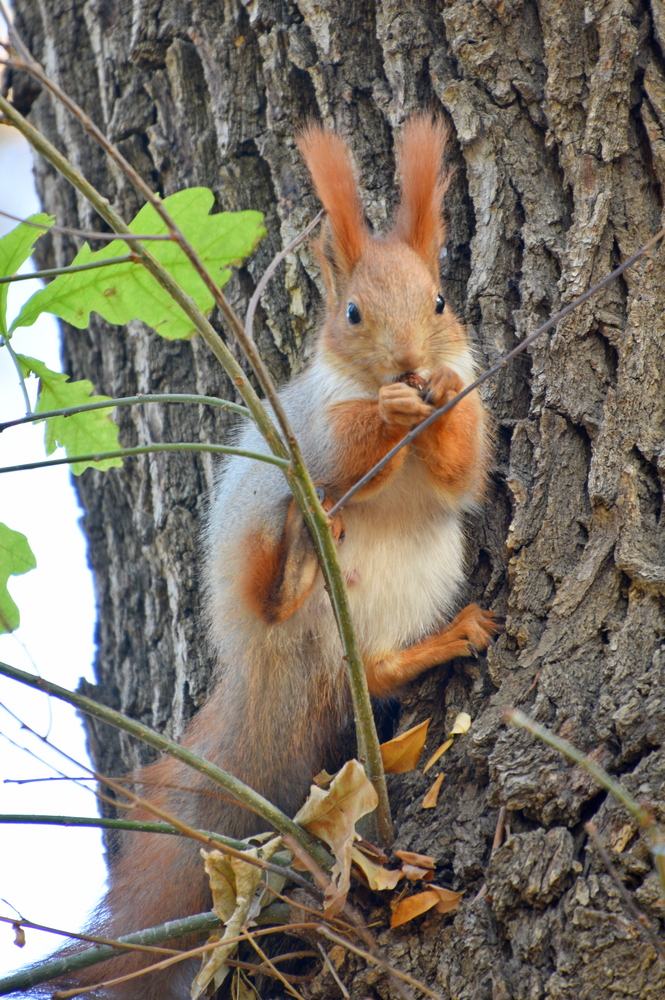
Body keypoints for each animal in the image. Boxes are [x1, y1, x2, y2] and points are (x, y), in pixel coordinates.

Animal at [42, 119, 498, 1000]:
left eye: (439, 301)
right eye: (351, 313)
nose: (406, 365)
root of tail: (267, 663)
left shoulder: (467, 416)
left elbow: (460, 468)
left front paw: (430, 400)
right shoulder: (312, 433)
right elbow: (351, 451)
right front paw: (388, 411)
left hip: (415, 588)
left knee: (377, 670)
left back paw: (450, 636)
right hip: (261, 510)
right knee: (280, 582)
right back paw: (293, 570)